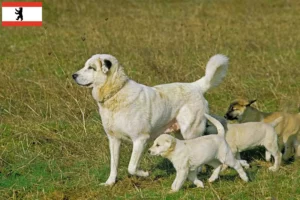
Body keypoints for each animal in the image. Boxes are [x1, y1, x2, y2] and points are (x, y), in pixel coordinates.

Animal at [72, 53, 227, 186]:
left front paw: (145, 174)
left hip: (190, 131)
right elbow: (114, 163)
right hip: (180, 133)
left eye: (91, 68)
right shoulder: (114, 139)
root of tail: (195, 86)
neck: (116, 92)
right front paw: (109, 183)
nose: (73, 75)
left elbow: (131, 167)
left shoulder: (140, 139)